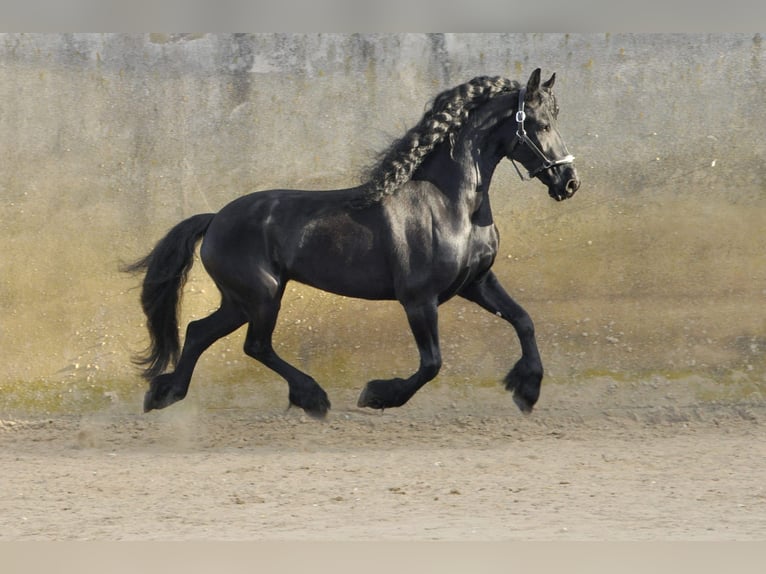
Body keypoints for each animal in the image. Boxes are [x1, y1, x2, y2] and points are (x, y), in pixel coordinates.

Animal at [125, 68, 580, 419]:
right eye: (540, 124)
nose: (569, 182)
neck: (451, 203)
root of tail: (215, 218)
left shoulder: (477, 282)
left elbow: (523, 320)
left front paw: (527, 391)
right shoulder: (419, 299)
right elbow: (432, 363)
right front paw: (377, 394)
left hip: (240, 301)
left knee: (199, 332)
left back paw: (164, 394)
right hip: (262, 296)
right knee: (254, 344)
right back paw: (312, 398)